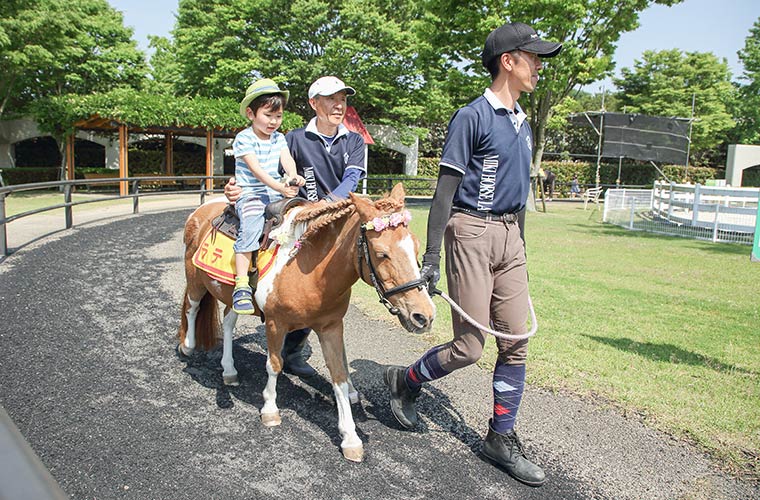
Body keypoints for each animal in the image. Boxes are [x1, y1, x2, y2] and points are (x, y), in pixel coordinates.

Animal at [177, 183, 434, 460]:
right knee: (192, 307)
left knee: (227, 322)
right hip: (195, 278)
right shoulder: (275, 323)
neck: (307, 268)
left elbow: (339, 376)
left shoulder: (331, 327)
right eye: (382, 254)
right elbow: (274, 365)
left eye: (416, 248)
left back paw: (229, 370)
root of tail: (201, 210)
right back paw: (188, 346)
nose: (424, 315)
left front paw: (350, 438)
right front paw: (270, 409)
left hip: (231, 294)